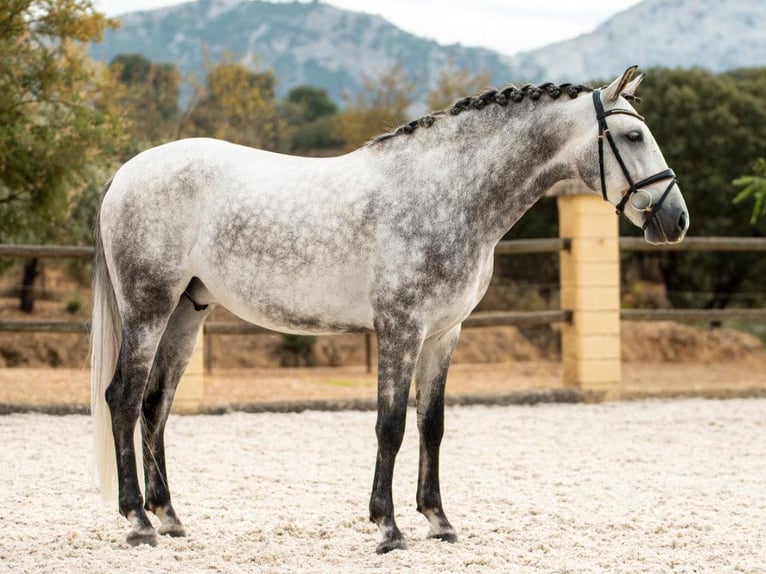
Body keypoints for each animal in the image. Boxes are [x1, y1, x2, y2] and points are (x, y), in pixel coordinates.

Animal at [91, 66, 689, 553]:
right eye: (633, 136)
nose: (676, 219)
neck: (447, 194)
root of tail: (125, 173)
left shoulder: (444, 333)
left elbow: (432, 424)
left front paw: (439, 521)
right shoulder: (401, 329)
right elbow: (391, 425)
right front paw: (388, 527)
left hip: (187, 312)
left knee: (155, 404)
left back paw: (168, 517)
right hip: (148, 307)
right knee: (123, 398)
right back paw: (137, 523)